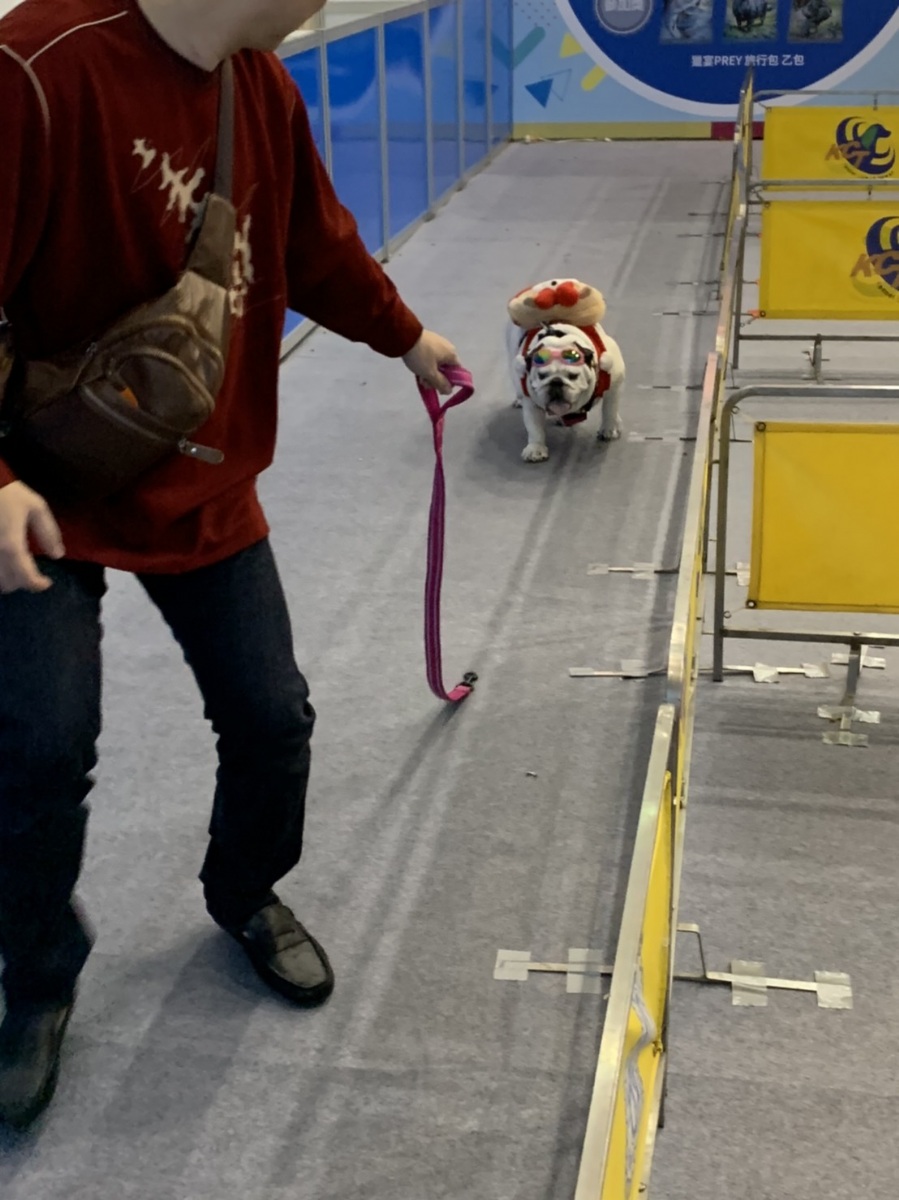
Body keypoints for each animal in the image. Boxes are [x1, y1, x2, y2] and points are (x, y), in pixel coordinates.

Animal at [506, 279, 625, 463]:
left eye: (573, 376)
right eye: (542, 376)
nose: (556, 382)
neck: (559, 340)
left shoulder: (615, 381)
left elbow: (609, 408)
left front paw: (609, 429)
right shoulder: (532, 401)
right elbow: (534, 427)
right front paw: (536, 448)